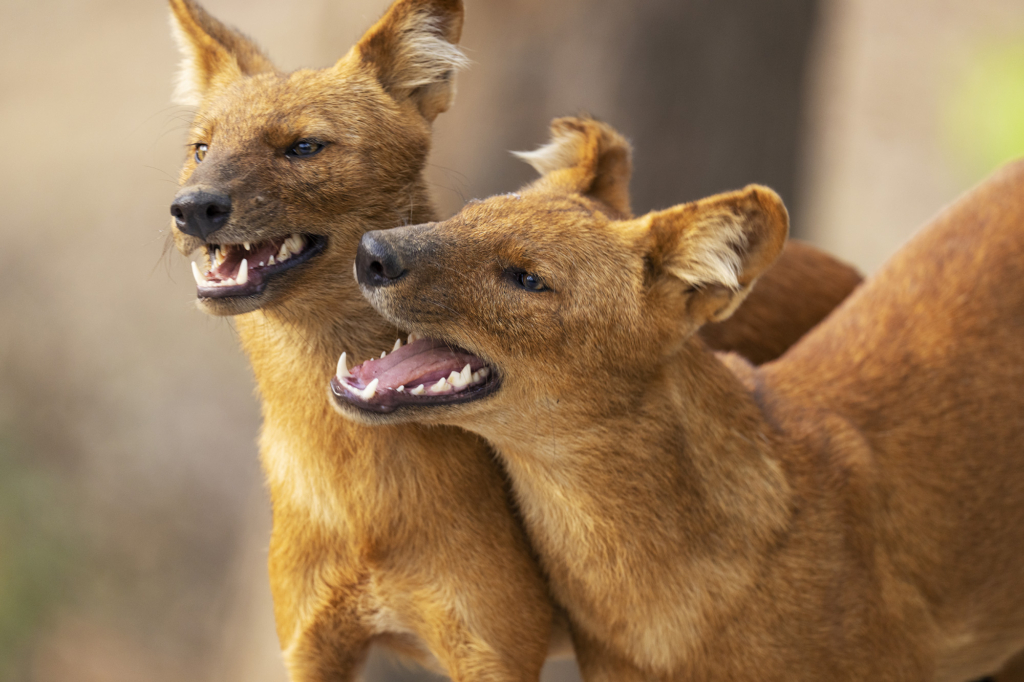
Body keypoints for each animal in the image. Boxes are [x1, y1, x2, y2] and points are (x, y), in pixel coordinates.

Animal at [167, 2, 864, 675]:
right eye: (201, 148)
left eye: (305, 146)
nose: (194, 207)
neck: (354, 484)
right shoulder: (310, 646)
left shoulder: (493, 647)